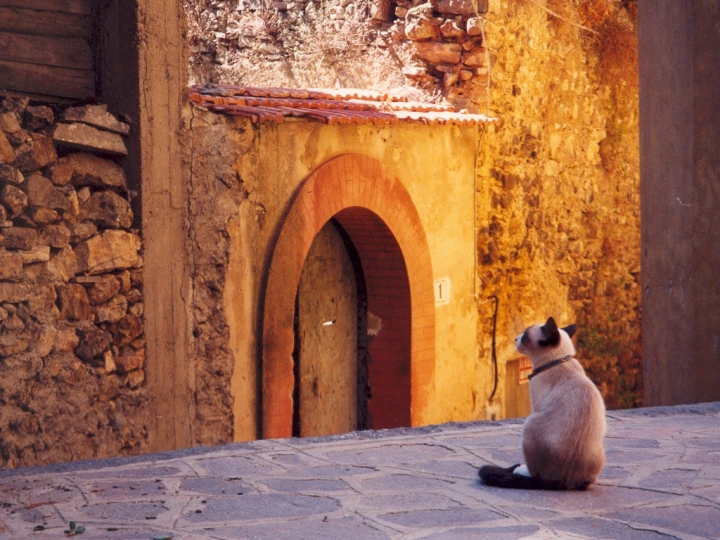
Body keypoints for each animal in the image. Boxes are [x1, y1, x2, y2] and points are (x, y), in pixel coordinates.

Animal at [480, 316, 604, 490]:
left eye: (525, 335)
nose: (515, 338)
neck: (557, 361)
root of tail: (565, 483)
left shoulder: (536, 406)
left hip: (529, 423)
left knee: (535, 475)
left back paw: (521, 470)